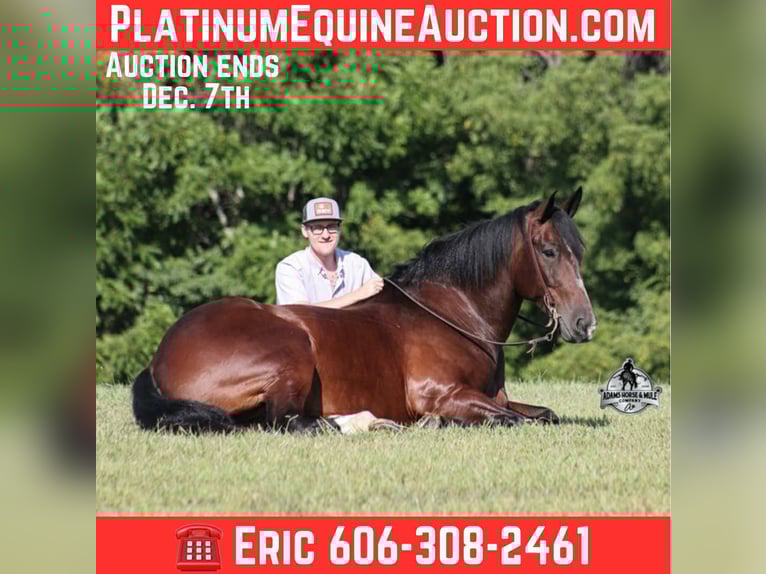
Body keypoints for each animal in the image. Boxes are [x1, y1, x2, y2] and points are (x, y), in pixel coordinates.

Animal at [132, 188, 597, 434]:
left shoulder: (492, 397)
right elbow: (516, 420)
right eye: (549, 251)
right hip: (290, 352)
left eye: (579, 250)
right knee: (289, 422)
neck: (455, 314)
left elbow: (544, 414)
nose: (584, 324)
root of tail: (159, 357)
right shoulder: (443, 395)